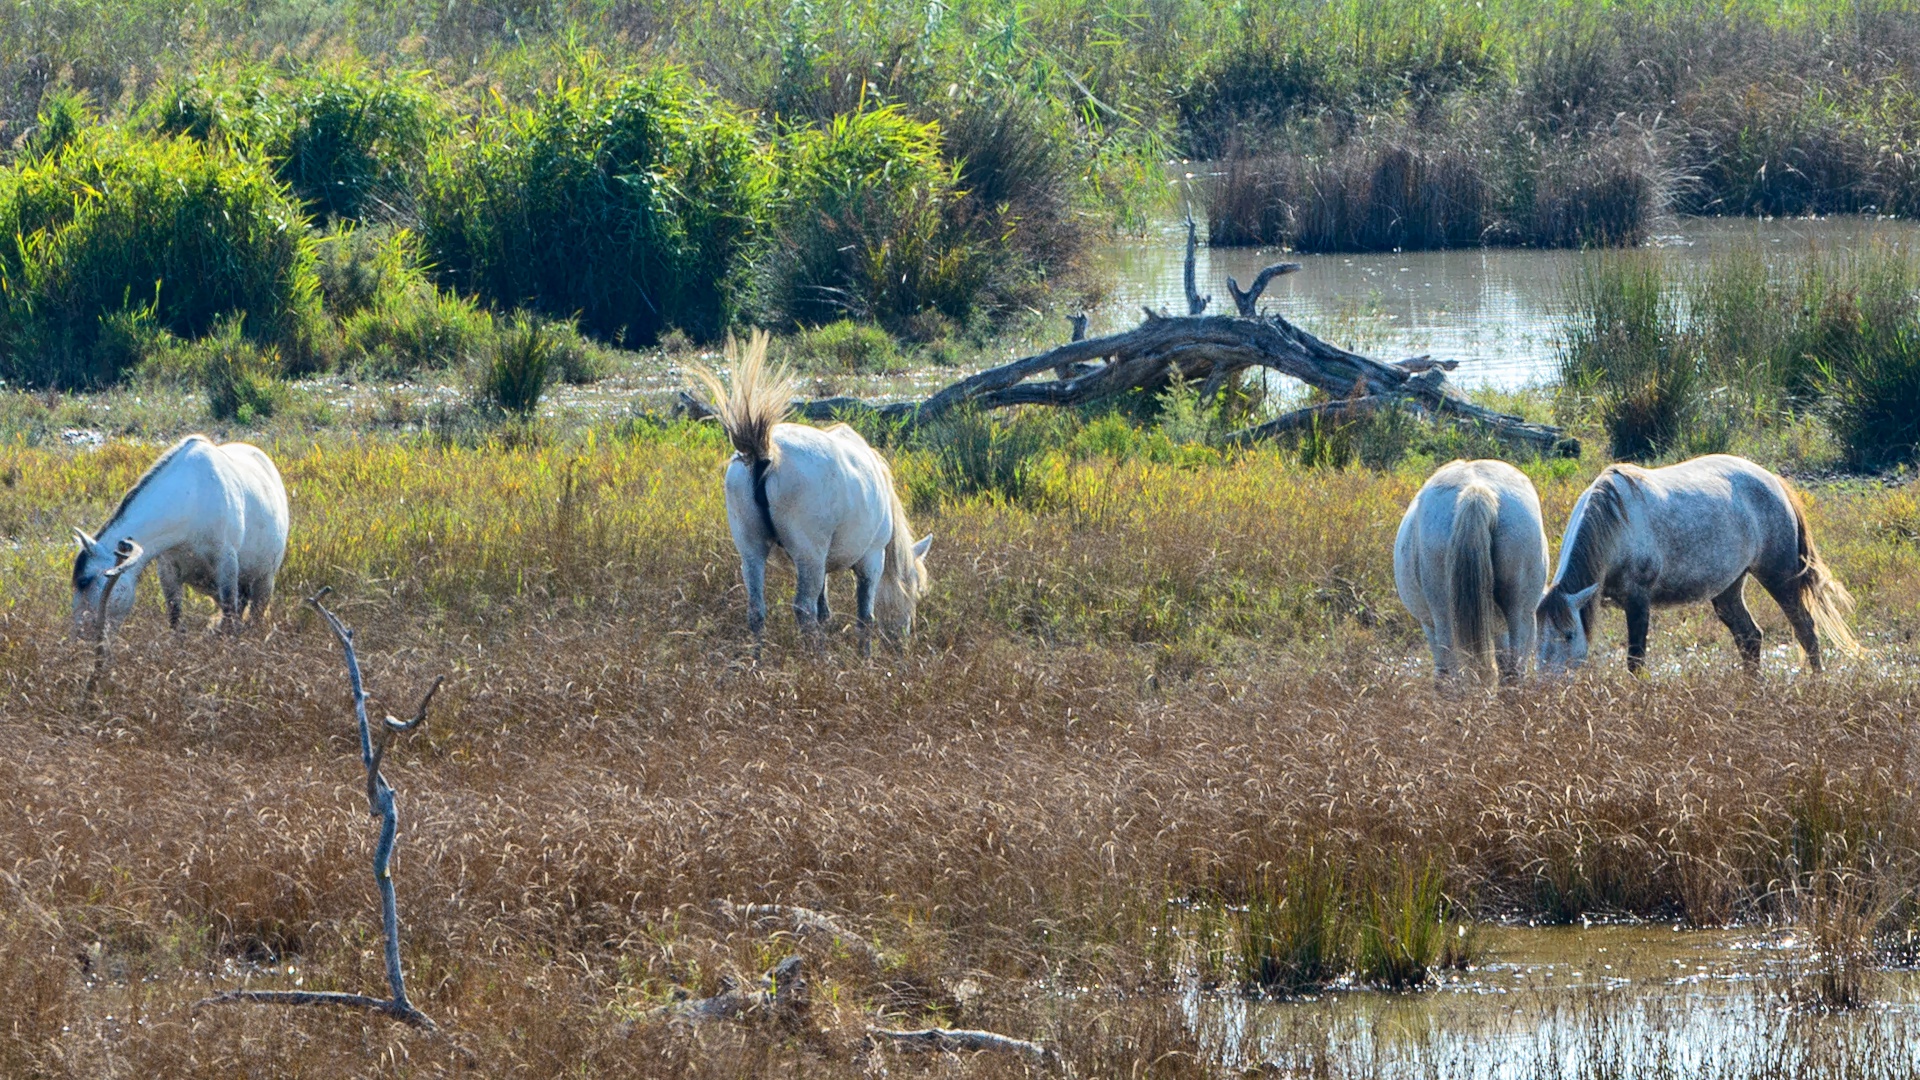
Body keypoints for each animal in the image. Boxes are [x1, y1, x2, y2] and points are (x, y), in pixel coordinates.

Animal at [72, 428, 288, 630]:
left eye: (84, 581)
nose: (81, 635)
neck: (193, 497)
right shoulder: (168, 571)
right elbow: (175, 619)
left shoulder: (227, 565)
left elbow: (229, 619)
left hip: (263, 582)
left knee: (254, 617)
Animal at [687, 328, 933, 645]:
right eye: (915, 589)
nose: (904, 639)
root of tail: (766, 452)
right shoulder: (871, 559)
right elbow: (864, 617)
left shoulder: (824, 565)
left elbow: (825, 610)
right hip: (809, 555)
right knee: (803, 610)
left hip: (752, 550)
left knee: (757, 611)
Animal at [1397, 455, 1543, 676]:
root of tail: (1476, 490)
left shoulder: (1429, 624)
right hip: (1521, 612)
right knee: (1513, 665)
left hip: (1444, 615)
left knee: (1451, 667)